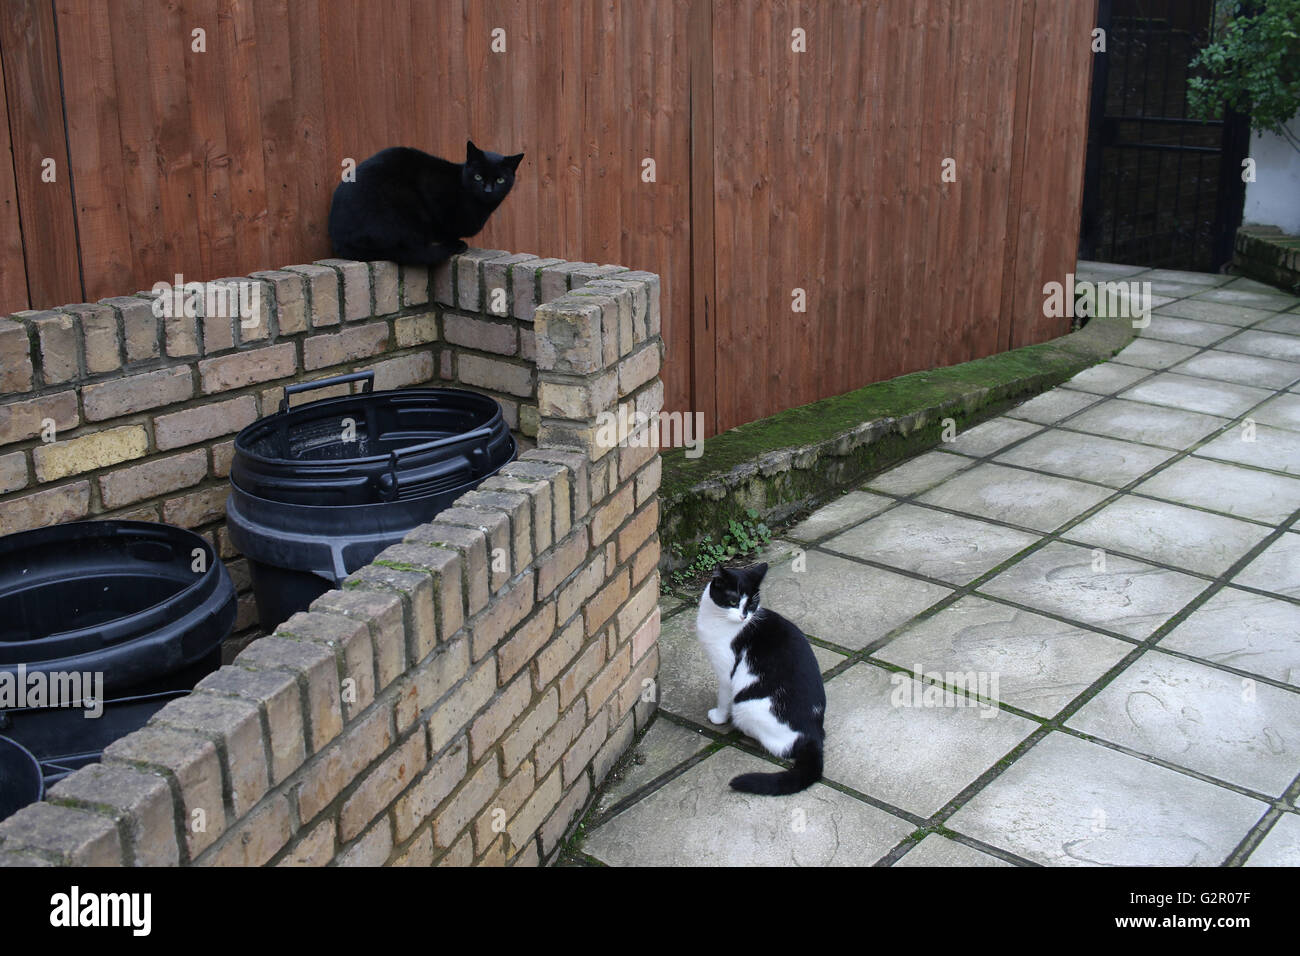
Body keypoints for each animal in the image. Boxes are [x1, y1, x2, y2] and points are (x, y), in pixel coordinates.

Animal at [325, 140, 522, 265]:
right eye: (478, 176)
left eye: (500, 180)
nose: (488, 190)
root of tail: (340, 242)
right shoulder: (432, 192)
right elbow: (444, 228)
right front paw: (455, 242)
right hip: (404, 203)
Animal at [696, 564, 826, 796]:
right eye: (733, 601)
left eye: (752, 603)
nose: (743, 616)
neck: (717, 619)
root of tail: (813, 734)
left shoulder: (726, 673)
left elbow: (723, 698)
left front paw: (719, 717)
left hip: (746, 707)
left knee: (779, 747)